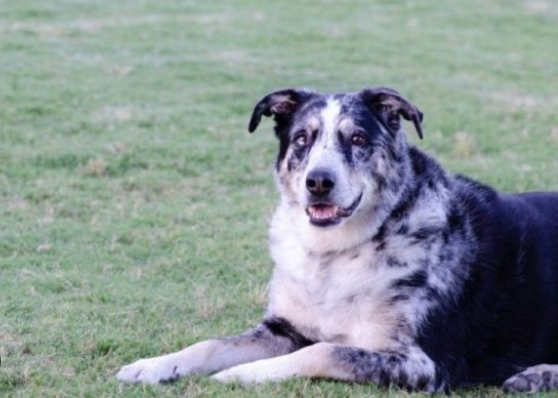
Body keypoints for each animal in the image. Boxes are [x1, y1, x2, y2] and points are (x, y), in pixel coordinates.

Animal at [116, 85, 558, 394]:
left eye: (358, 139)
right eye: (302, 139)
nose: (318, 182)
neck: (336, 254)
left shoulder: (424, 364)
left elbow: (322, 351)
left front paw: (243, 373)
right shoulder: (282, 329)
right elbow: (208, 345)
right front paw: (153, 365)